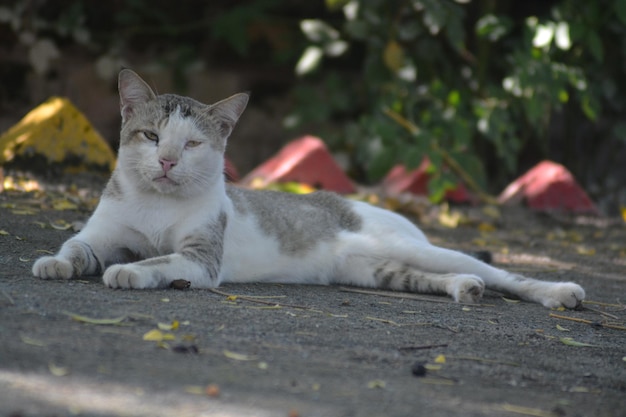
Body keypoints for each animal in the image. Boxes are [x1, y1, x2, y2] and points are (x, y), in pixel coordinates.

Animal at [30, 68, 584, 308]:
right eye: (150, 136)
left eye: (191, 144)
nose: (166, 161)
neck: (155, 205)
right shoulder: (103, 233)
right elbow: (77, 247)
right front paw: (55, 263)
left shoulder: (200, 260)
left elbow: (157, 260)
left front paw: (128, 271)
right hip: (371, 270)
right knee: (434, 277)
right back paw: (463, 289)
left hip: (416, 247)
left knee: (503, 274)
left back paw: (558, 292)